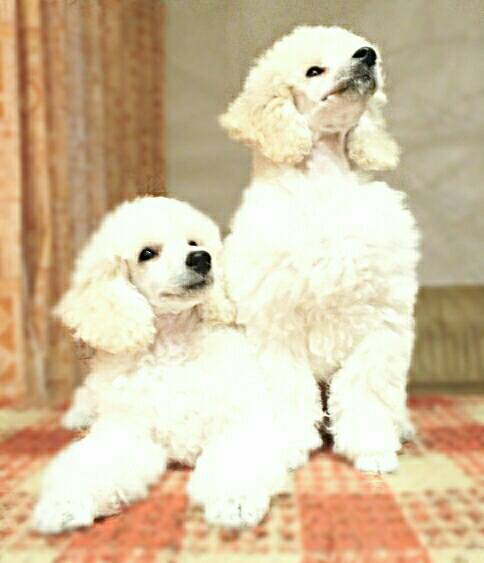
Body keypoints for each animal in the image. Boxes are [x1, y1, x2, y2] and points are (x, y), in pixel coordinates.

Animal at [32, 196, 322, 533]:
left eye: (193, 243)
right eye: (147, 253)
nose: (201, 259)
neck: (174, 348)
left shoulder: (238, 423)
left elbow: (235, 460)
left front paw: (235, 501)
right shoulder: (126, 435)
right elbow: (89, 466)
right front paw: (64, 504)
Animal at [221, 26, 420, 473]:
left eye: (358, 48)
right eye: (314, 70)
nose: (367, 55)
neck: (325, 187)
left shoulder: (381, 326)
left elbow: (365, 391)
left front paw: (371, 448)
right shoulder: (275, 327)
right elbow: (289, 391)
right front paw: (287, 445)